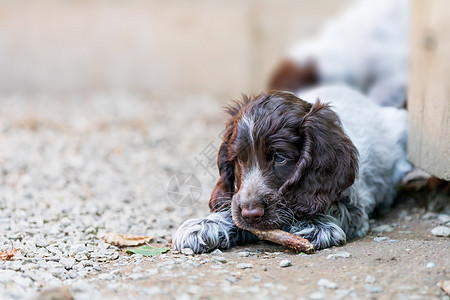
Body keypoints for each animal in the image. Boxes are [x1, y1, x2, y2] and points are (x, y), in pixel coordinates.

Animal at [172, 85, 412, 252]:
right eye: (239, 159)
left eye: (280, 158)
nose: (251, 213)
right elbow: (231, 208)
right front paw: (204, 225)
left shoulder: (356, 206)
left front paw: (315, 226)